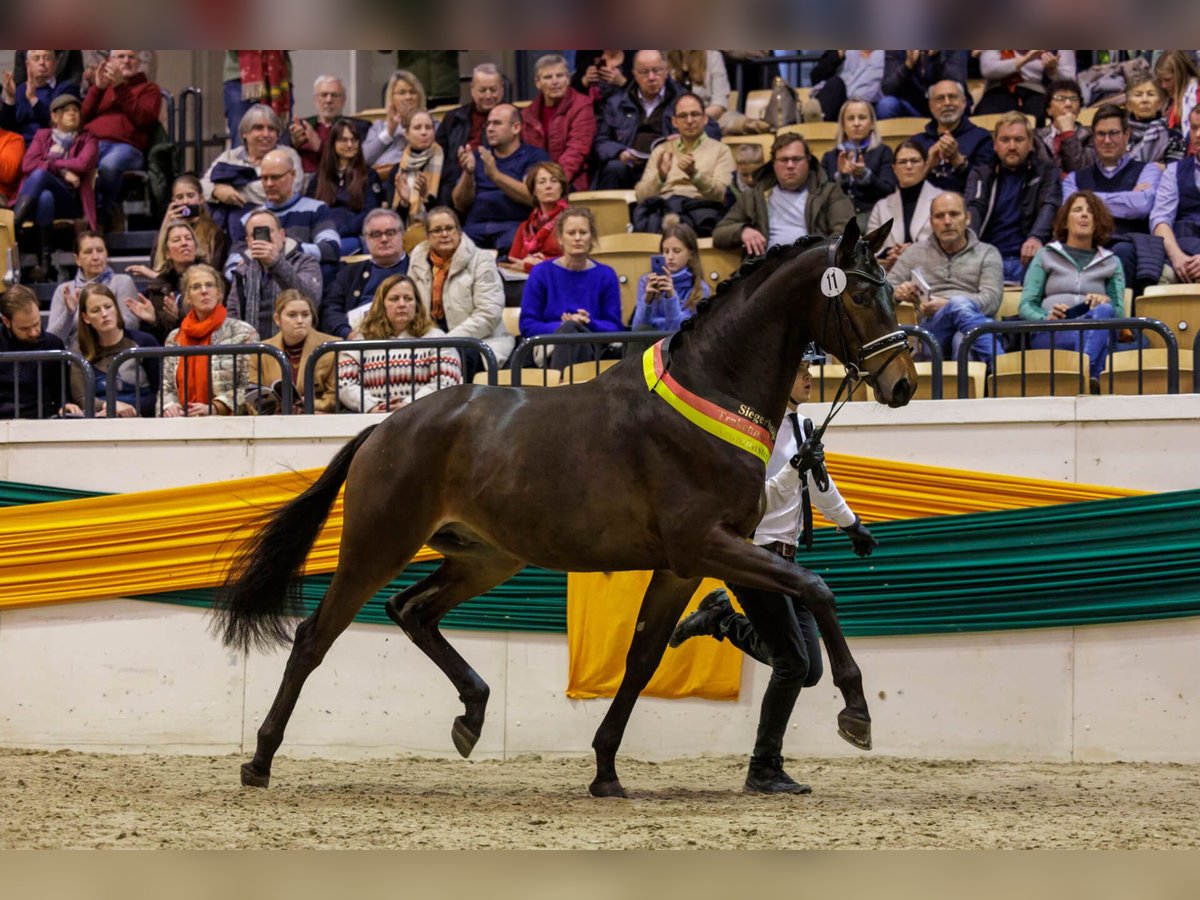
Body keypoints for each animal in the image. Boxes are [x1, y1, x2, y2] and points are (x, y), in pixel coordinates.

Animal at [216, 217, 912, 796]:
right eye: (858, 296)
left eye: (891, 292)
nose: (902, 381)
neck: (711, 394)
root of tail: (385, 428)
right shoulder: (707, 544)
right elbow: (815, 586)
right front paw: (856, 711)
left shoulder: (686, 563)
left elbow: (642, 659)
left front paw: (605, 770)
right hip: (378, 545)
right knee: (316, 636)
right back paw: (260, 761)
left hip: (485, 558)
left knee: (411, 610)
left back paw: (471, 714)